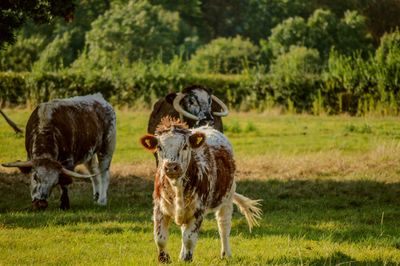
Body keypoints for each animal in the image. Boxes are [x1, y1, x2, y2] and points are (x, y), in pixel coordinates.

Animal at [141, 116, 262, 262]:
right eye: (159, 147)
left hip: (227, 198)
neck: (177, 187)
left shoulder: (198, 210)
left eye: (185, 146)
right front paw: (165, 259)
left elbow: (189, 238)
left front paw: (187, 259)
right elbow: (160, 238)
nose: (171, 167)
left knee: (223, 227)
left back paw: (226, 254)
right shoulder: (159, 208)